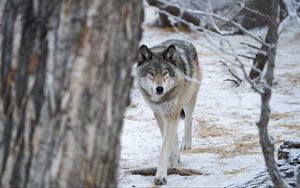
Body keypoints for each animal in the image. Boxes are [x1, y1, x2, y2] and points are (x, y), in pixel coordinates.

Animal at [136, 39, 202, 184]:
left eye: (165, 72)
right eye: (151, 72)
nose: (160, 88)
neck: (161, 100)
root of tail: (185, 41)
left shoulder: (171, 114)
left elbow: (165, 148)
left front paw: (161, 176)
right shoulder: (159, 115)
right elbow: (169, 142)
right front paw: (173, 162)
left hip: (189, 100)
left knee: (189, 119)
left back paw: (186, 144)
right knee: (175, 133)